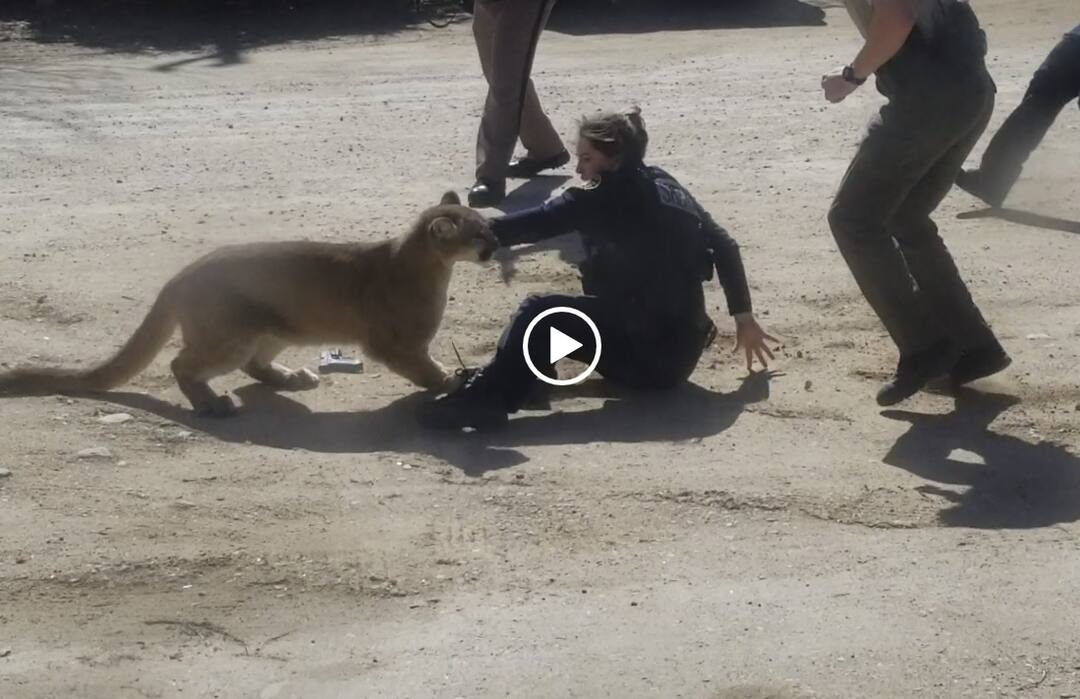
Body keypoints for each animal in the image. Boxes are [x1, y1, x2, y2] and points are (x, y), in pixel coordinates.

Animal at [0, 191, 500, 416]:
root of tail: (179, 276)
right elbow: (424, 368)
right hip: (232, 335)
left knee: (254, 366)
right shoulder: (394, 345)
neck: (428, 265)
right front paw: (451, 381)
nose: (497, 243)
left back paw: (292, 378)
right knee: (183, 363)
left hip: (275, 327)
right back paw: (213, 405)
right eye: (479, 234)